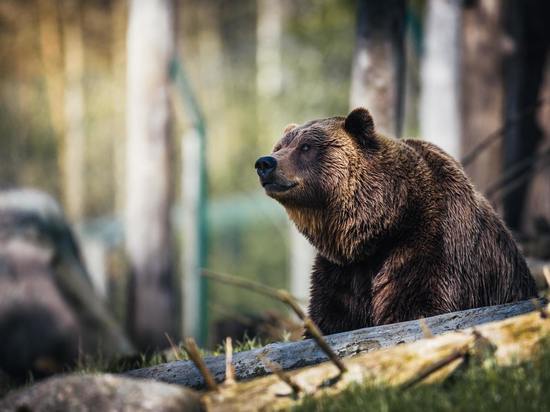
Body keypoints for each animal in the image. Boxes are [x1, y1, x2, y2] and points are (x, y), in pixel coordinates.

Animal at [256, 107, 540, 334]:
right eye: (279, 147)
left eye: (306, 147)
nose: (265, 163)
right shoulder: (342, 270)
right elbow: (331, 316)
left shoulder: (429, 244)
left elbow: (416, 305)